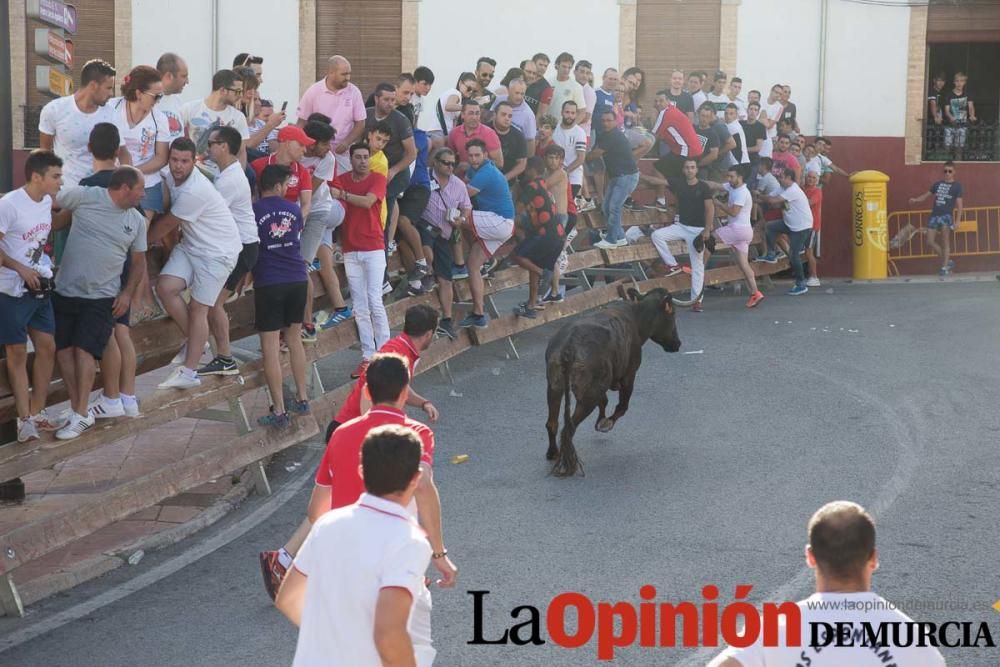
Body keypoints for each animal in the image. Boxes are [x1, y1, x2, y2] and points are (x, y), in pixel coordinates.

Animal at [544, 290, 684, 478]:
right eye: (672, 313)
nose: (677, 343)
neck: (635, 317)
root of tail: (569, 347)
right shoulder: (629, 375)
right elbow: (622, 406)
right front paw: (606, 424)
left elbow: (605, 401)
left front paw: (601, 420)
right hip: (588, 395)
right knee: (569, 428)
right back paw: (567, 464)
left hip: (555, 386)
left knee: (552, 423)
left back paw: (553, 453)